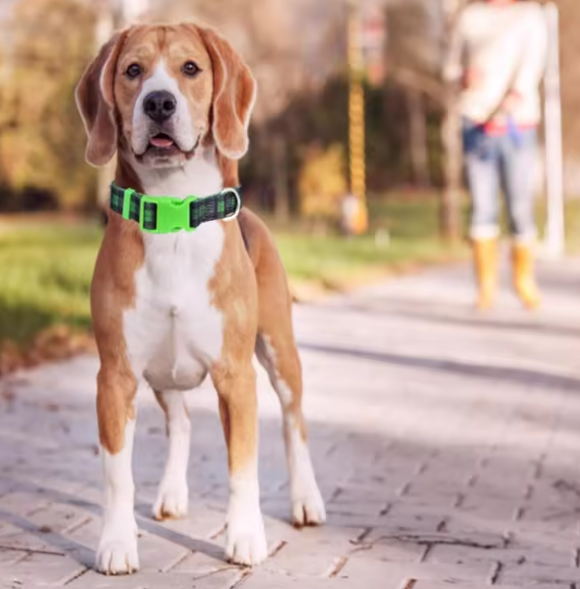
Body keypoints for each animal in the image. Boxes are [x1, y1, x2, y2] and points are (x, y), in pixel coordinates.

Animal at [74, 24, 324, 576]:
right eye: (133, 70)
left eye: (190, 68)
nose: (159, 103)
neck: (171, 210)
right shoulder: (115, 377)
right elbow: (117, 473)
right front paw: (118, 543)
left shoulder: (236, 376)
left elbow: (243, 467)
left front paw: (246, 537)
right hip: (162, 373)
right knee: (182, 422)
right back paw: (171, 494)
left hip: (280, 352)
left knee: (294, 426)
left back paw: (305, 500)